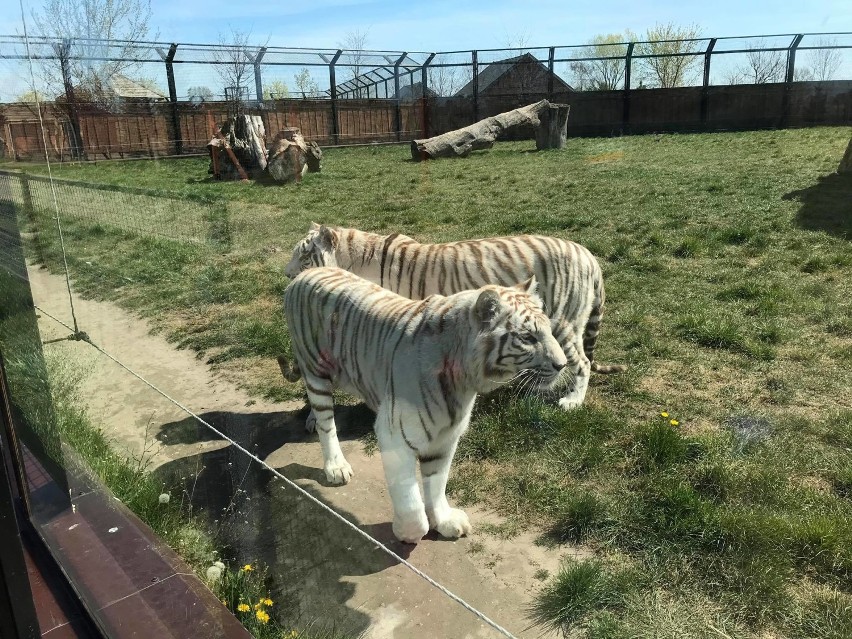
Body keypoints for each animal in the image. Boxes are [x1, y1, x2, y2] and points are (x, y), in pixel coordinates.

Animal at [282, 268, 568, 544]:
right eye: (528, 337)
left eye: (548, 330)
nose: (562, 364)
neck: (463, 380)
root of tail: (306, 273)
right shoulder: (394, 435)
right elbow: (411, 504)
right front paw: (405, 533)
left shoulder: (446, 437)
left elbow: (437, 484)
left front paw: (445, 521)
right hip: (316, 370)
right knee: (326, 422)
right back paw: (335, 465)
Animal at [286, 222, 624, 408]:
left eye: (304, 255)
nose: (287, 275)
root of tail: (588, 254)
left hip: (564, 323)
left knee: (580, 362)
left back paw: (572, 401)